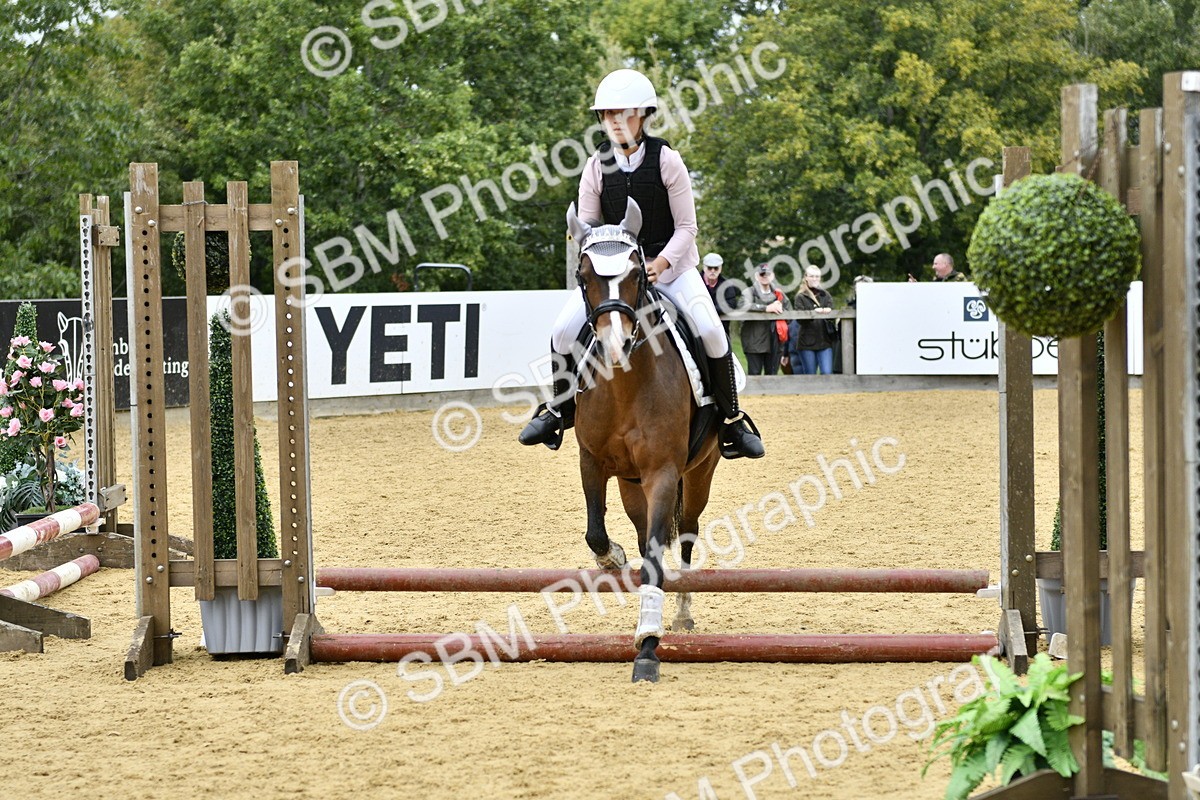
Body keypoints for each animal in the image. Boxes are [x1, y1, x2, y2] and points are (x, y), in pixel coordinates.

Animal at [566, 198, 722, 683]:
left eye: (637, 272)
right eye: (584, 275)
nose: (616, 344)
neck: (624, 384)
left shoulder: (664, 473)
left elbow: (657, 557)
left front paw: (648, 647)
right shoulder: (591, 461)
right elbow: (596, 532)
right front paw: (612, 560)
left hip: (699, 474)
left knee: (686, 535)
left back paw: (683, 613)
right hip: (630, 484)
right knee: (641, 531)